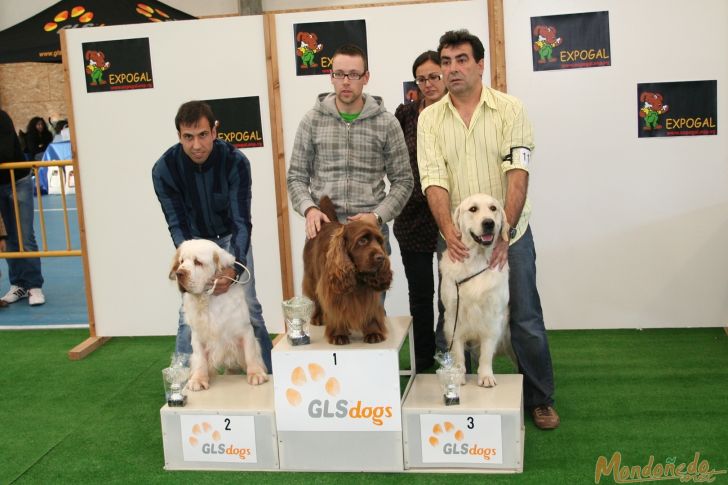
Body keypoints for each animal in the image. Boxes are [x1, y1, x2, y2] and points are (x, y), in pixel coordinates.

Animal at [169, 238, 268, 390]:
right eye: (181, 261)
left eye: (198, 262)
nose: (179, 273)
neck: (207, 299)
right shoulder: (198, 336)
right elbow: (200, 359)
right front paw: (198, 379)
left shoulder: (245, 330)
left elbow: (250, 353)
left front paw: (256, 374)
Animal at [302, 196, 392, 344]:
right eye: (362, 241)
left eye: (379, 241)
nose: (381, 258)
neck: (358, 277)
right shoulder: (332, 291)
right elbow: (336, 312)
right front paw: (339, 334)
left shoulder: (369, 293)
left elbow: (370, 311)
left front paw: (373, 332)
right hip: (312, 278)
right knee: (316, 299)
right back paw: (318, 318)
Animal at [438, 193, 512, 386]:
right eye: (473, 209)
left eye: (493, 208)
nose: (488, 223)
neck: (476, 260)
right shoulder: (453, 317)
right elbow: (457, 353)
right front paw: (457, 376)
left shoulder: (492, 317)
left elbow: (486, 352)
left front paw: (486, 376)